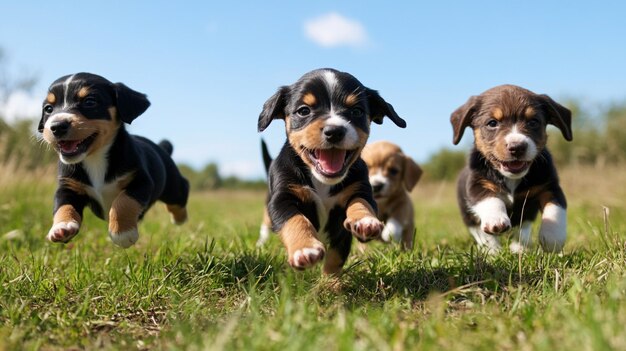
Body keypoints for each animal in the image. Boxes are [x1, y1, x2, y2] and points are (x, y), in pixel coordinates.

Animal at [38, 72, 188, 248]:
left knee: (181, 192)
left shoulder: (141, 181)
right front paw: (62, 227)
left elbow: (123, 201)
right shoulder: (68, 187)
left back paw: (179, 218)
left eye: (89, 102)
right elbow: (62, 205)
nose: (56, 126)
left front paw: (122, 233)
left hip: (172, 187)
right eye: (48, 109)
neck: (95, 159)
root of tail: (160, 147)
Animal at [258, 68, 404, 276]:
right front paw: (305, 248)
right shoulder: (282, 199)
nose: (334, 131)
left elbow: (360, 204)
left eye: (356, 111)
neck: (322, 183)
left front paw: (365, 221)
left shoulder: (360, 191)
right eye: (304, 111)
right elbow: (295, 219)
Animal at [448, 85, 572, 256]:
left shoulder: (550, 187)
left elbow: (555, 209)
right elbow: (490, 199)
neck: (512, 178)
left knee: (522, 229)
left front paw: (552, 238)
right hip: (468, 216)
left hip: (526, 214)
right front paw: (496, 220)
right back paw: (492, 251)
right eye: (492, 123)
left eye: (533, 122)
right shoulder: (477, 184)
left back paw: (520, 248)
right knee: (481, 234)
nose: (517, 147)